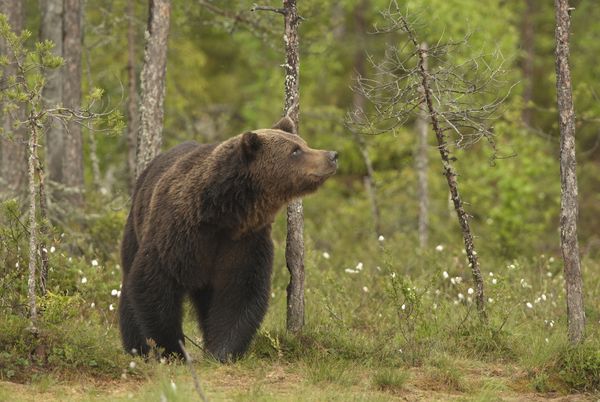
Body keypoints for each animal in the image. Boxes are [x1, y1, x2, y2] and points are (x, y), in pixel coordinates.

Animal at [117, 116, 338, 362]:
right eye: (295, 151)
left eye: (303, 143)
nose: (332, 155)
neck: (223, 214)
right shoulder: (178, 233)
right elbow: (153, 282)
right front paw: (174, 350)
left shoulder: (244, 242)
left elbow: (239, 292)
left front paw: (221, 351)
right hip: (136, 225)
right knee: (129, 284)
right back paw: (136, 347)